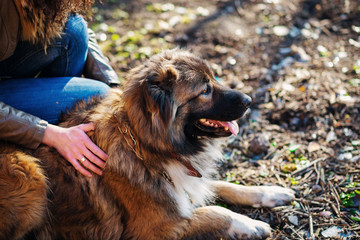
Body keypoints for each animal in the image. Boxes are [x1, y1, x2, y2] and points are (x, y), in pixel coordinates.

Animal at [0, 49, 292, 239]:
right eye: (205, 90)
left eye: (214, 79)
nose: (249, 100)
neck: (143, 144)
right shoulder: (155, 229)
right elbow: (214, 212)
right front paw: (250, 224)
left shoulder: (186, 182)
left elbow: (223, 186)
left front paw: (270, 192)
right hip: (30, 172)